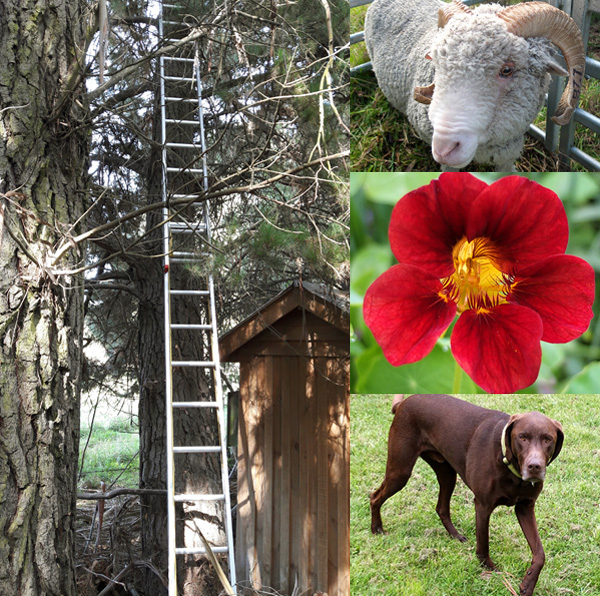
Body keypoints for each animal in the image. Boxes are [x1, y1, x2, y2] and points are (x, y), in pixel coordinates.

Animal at [370, 394, 564, 592]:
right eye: (522, 437)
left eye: (548, 439)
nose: (534, 467)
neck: (512, 470)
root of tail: (403, 403)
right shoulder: (483, 505)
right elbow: (483, 543)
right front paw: (489, 568)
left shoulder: (525, 508)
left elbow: (540, 554)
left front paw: (528, 583)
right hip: (400, 471)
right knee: (374, 497)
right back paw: (377, 529)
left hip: (447, 474)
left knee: (441, 508)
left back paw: (455, 536)